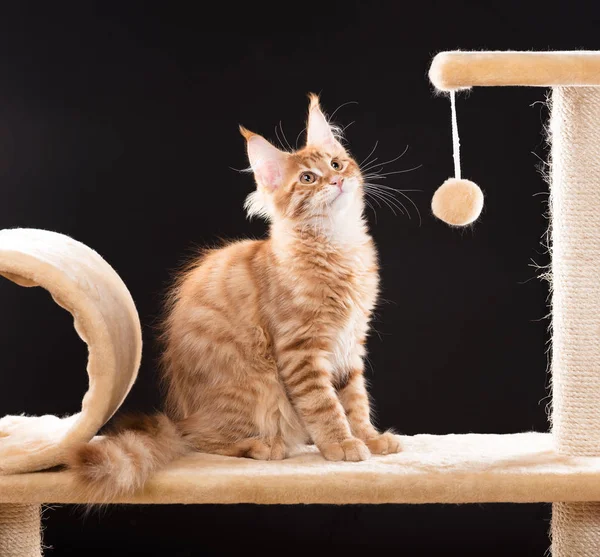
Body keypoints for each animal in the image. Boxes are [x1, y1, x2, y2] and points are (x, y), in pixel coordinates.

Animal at [69, 93, 398, 498]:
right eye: (308, 178)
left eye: (337, 164)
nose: (336, 180)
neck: (338, 247)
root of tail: (181, 416)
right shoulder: (300, 350)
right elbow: (325, 404)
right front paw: (342, 443)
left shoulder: (351, 343)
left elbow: (355, 399)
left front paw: (369, 437)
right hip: (253, 388)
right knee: (198, 441)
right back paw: (264, 445)